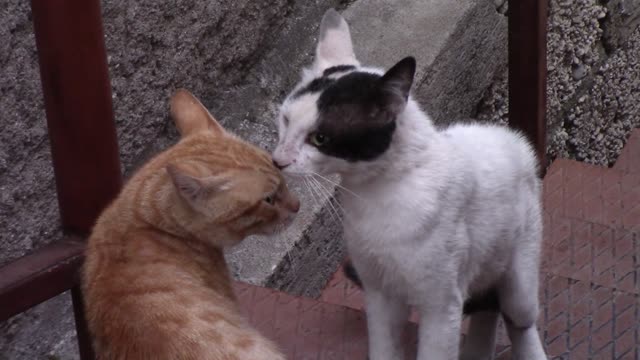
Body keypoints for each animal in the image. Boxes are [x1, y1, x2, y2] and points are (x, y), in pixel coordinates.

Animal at [272, 8, 548, 360]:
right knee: (488, 306)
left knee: (518, 318)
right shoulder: (378, 292)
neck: (376, 194)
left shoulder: (440, 304)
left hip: (520, 269)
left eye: (320, 138)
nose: (278, 160)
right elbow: (384, 349)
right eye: (285, 120)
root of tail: (511, 138)